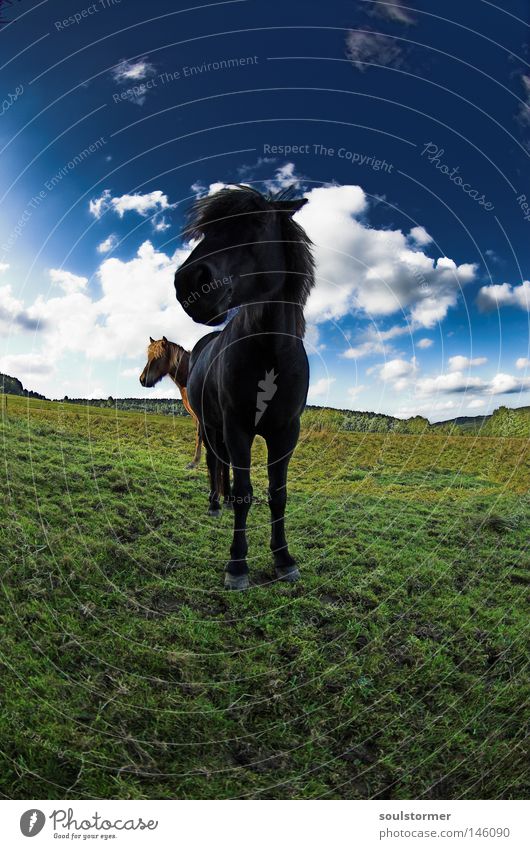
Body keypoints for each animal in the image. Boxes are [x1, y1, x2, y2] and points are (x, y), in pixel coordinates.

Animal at [173, 187, 314, 588]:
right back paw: (213, 504)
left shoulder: (286, 432)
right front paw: (237, 564)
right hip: (211, 426)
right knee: (213, 462)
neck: (269, 354)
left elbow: (278, 494)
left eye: (259, 222)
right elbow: (243, 493)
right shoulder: (237, 429)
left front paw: (284, 559)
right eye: (207, 231)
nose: (189, 283)